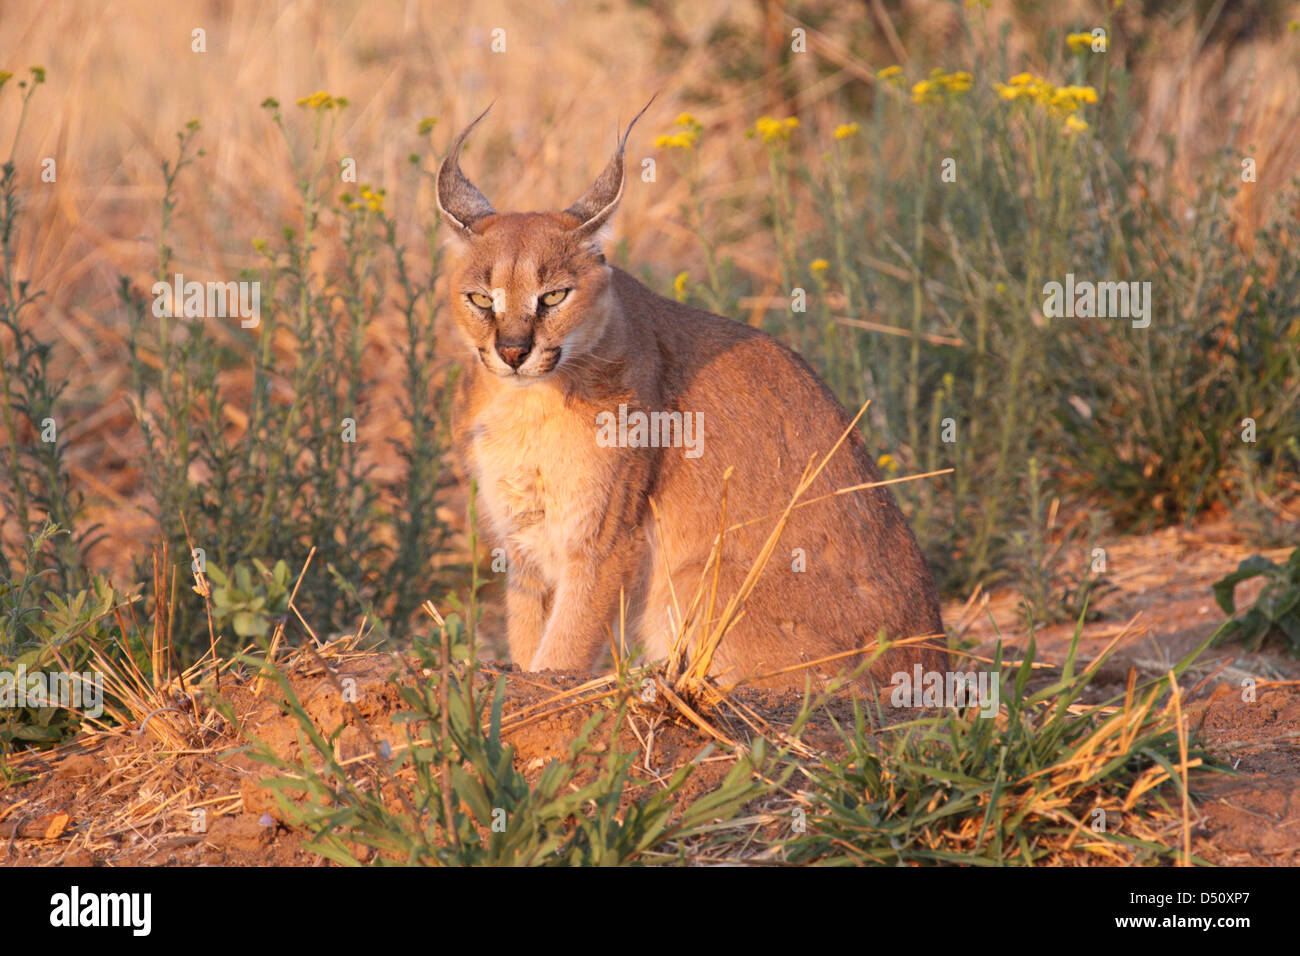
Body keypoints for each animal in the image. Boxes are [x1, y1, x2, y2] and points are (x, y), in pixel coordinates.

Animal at [436, 104, 946, 686]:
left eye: (555, 296)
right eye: (481, 300)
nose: (514, 351)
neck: (524, 405)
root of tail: (939, 657)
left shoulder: (606, 538)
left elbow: (563, 650)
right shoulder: (522, 545)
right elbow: (527, 642)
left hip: (691, 579)